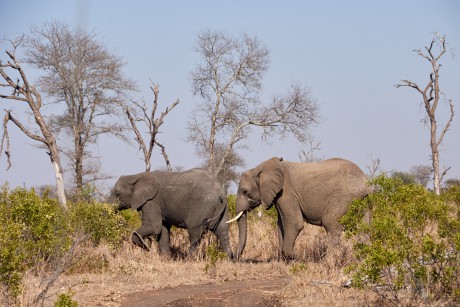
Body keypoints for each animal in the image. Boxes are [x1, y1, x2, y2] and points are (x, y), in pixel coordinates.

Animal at [228, 158, 372, 262]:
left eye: (245, 191)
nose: (234, 258)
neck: (260, 168)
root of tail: (364, 181)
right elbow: (281, 225)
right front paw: (283, 261)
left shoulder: (286, 192)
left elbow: (294, 223)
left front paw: (292, 258)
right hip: (364, 201)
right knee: (364, 229)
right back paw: (363, 260)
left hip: (343, 198)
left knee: (331, 223)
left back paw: (329, 261)